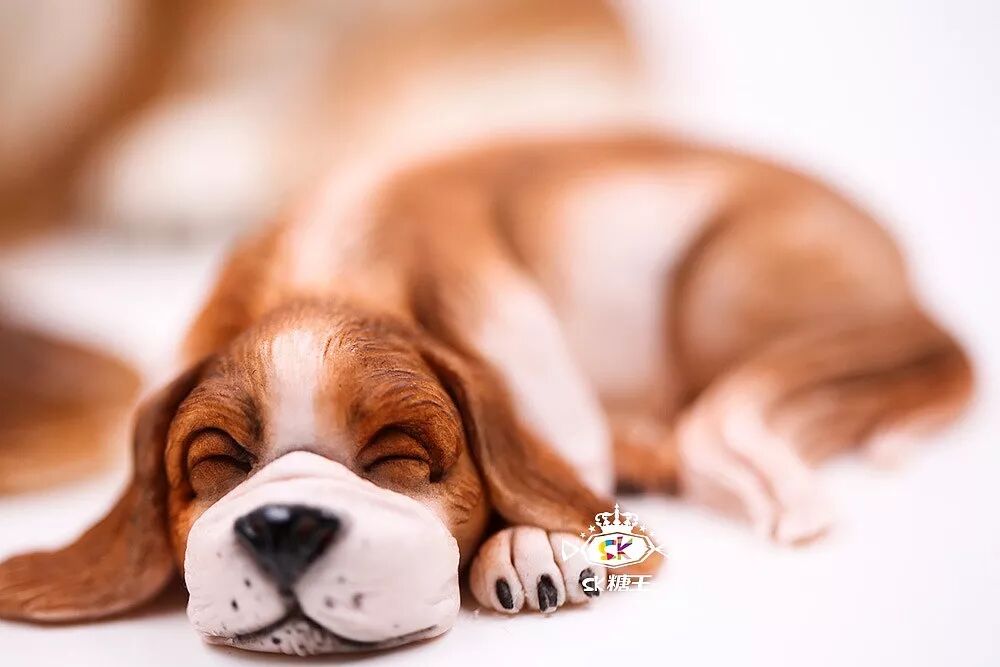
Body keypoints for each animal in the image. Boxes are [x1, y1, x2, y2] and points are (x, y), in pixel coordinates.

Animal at [0, 134, 973, 654]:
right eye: (220, 463)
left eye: (399, 456)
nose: (284, 525)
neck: (327, 273)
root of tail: (905, 276)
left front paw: (531, 542)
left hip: (723, 284)